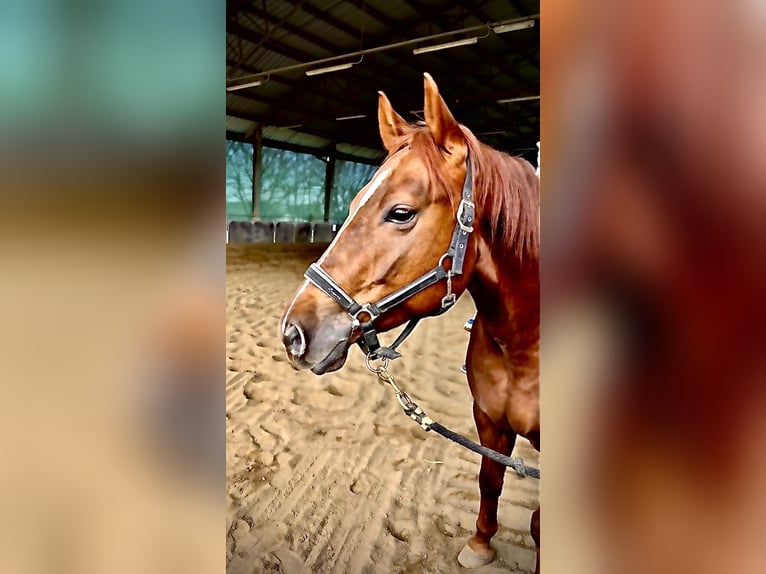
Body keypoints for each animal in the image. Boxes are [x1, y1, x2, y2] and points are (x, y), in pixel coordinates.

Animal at [279, 73, 540, 571]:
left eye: (401, 212)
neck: (524, 345)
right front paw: (480, 544)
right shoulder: (489, 422)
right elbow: (489, 478)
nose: (293, 334)